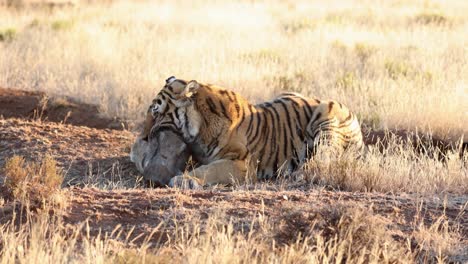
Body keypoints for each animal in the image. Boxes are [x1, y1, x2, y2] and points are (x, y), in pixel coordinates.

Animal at [144, 75, 364, 189]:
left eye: (156, 113)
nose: (144, 136)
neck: (200, 130)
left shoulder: (241, 163)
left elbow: (209, 169)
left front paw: (185, 180)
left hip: (326, 115)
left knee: (325, 161)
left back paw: (298, 174)